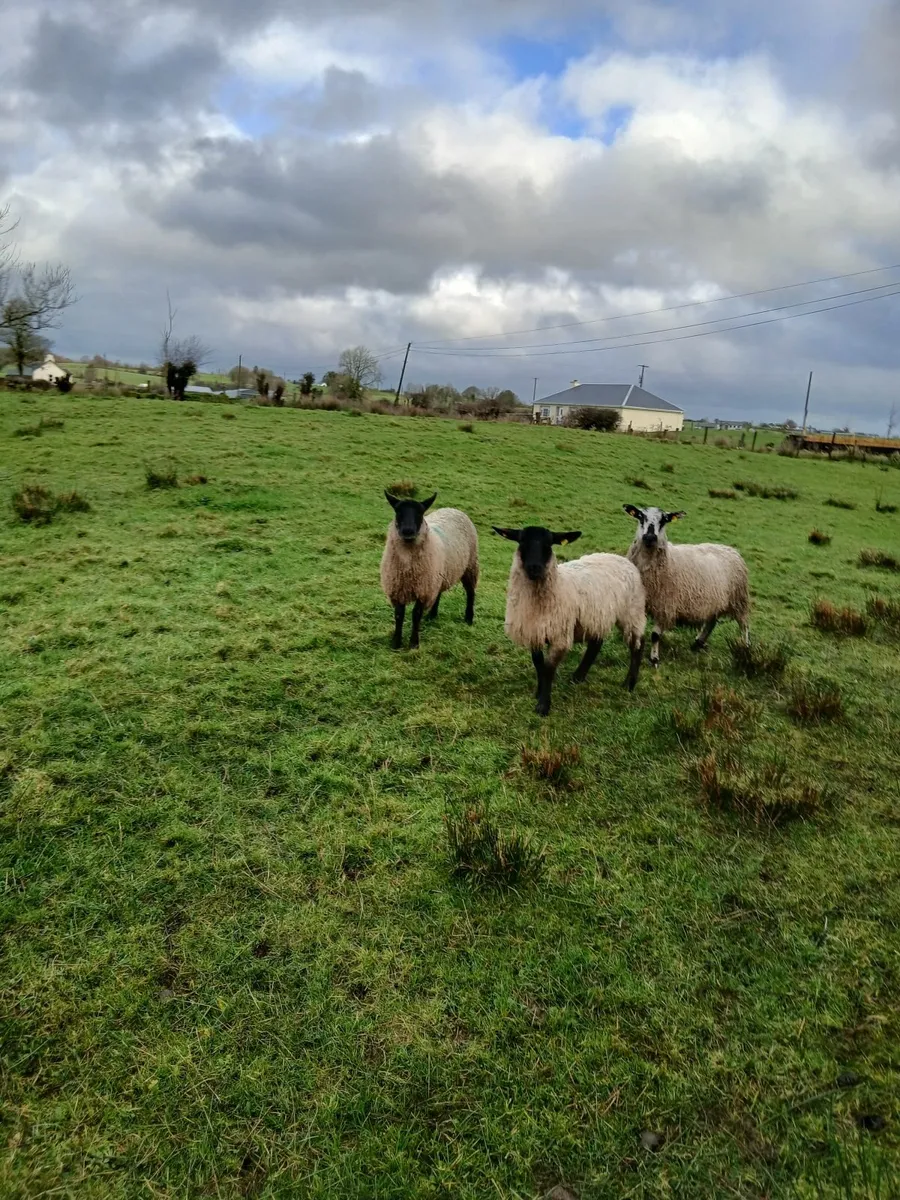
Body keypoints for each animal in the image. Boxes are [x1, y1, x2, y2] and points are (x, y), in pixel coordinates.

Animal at [380, 491, 479, 650]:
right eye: (398, 511)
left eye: (420, 512)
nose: (408, 531)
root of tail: (453, 509)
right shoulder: (399, 588)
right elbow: (399, 615)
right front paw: (396, 642)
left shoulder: (423, 589)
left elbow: (416, 614)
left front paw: (414, 643)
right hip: (438, 575)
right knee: (438, 593)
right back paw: (432, 615)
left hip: (470, 565)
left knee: (471, 592)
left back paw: (468, 618)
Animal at [493, 525, 646, 716]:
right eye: (522, 541)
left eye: (549, 544)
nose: (534, 567)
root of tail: (623, 559)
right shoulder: (535, 631)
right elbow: (539, 664)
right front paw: (538, 692)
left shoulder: (560, 636)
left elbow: (549, 669)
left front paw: (543, 705)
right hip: (596, 616)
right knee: (596, 644)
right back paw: (578, 677)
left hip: (632, 611)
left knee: (638, 645)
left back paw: (629, 683)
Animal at [623, 504, 750, 667]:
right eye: (640, 516)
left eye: (664, 520)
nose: (650, 538)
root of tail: (731, 549)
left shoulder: (666, 605)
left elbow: (655, 635)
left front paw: (654, 658)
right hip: (715, 600)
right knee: (711, 622)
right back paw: (698, 642)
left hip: (739, 598)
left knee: (744, 624)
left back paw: (745, 647)